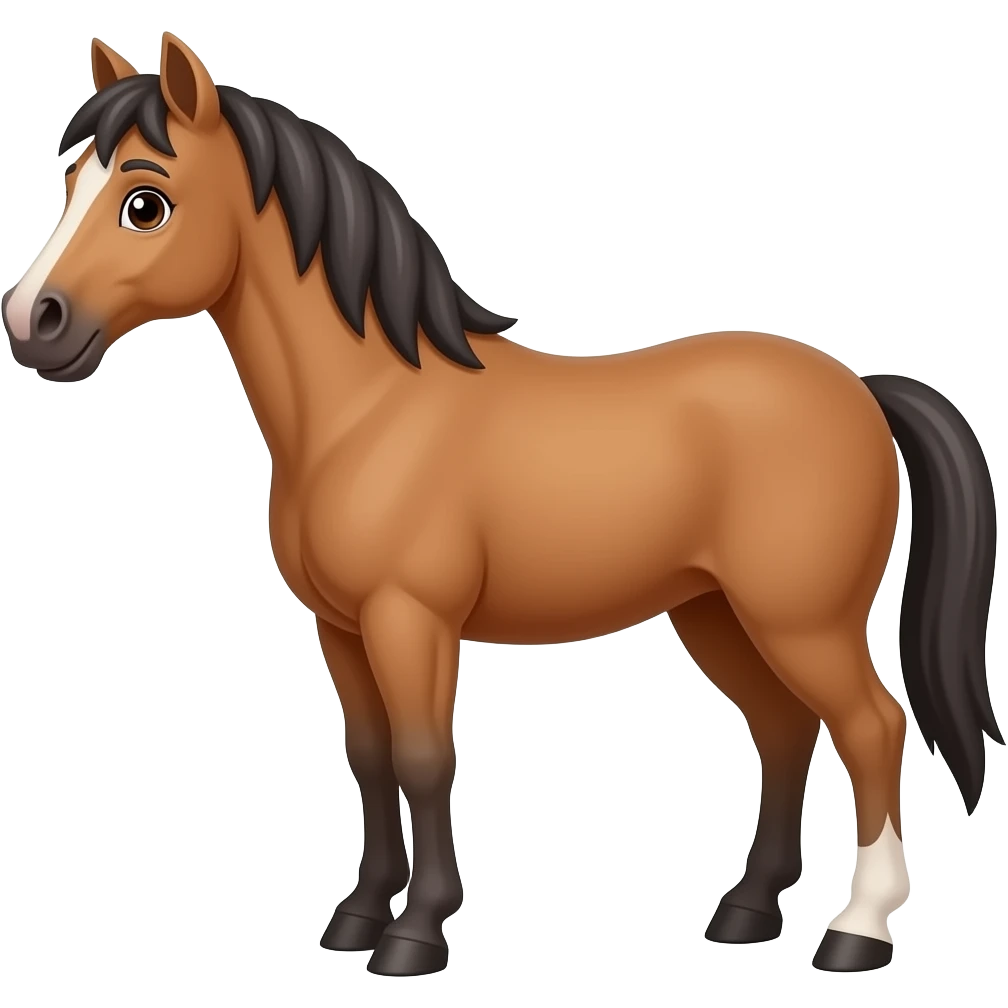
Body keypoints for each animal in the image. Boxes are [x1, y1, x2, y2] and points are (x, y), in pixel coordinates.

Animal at [1, 33, 1000, 977]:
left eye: (145, 201)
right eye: (70, 183)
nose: (32, 322)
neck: (371, 409)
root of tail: (860, 387)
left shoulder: (412, 619)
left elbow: (423, 761)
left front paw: (414, 936)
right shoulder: (342, 627)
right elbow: (369, 761)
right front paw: (357, 918)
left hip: (801, 619)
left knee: (872, 729)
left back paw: (858, 933)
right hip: (717, 614)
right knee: (787, 731)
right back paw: (747, 913)